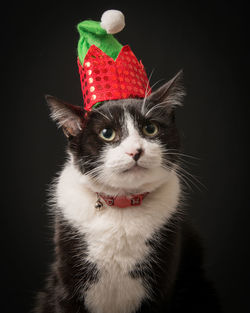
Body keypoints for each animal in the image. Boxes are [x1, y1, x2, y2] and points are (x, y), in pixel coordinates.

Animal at [34, 71, 222, 312]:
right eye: (107, 133)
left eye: (150, 128)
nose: (136, 151)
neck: (122, 204)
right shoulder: (67, 280)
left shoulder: (162, 282)